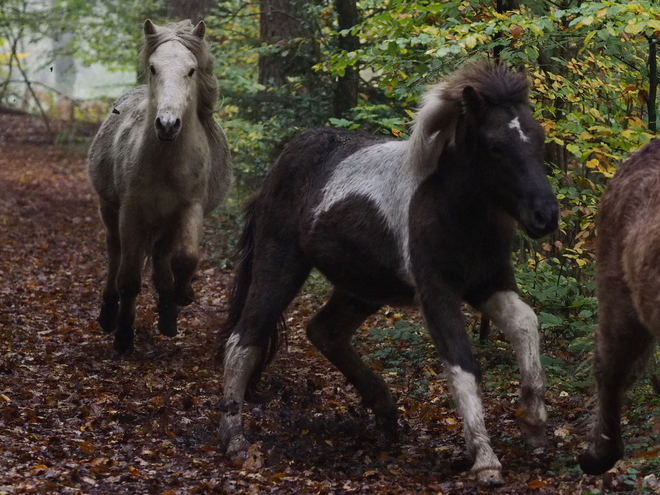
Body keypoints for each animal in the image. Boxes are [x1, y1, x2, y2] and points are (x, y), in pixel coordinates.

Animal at [220, 63, 556, 488]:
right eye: (496, 147)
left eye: (539, 138)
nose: (545, 216)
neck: (455, 208)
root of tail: (280, 165)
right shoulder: (437, 291)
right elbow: (462, 364)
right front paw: (485, 461)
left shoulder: (490, 282)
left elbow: (526, 323)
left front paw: (534, 423)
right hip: (280, 264)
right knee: (243, 340)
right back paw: (234, 441)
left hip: (362, 288)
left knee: (324, 331)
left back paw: (387, 417)